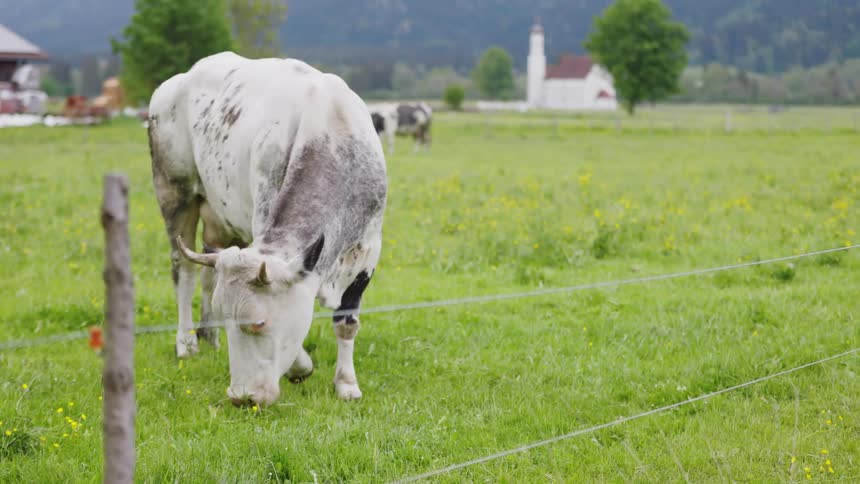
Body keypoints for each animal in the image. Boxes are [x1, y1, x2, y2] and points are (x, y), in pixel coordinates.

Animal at [147, 52, 387, 406]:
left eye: (258, 323)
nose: (242, 396)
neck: (333, 135)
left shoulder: (367, 251)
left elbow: (347, 321)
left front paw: (346, 383)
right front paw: (301, 366)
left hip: (219, 215)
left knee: (207, 270)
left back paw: (208, 335)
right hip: (175, 192)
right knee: (184, 273)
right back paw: (186, 342)